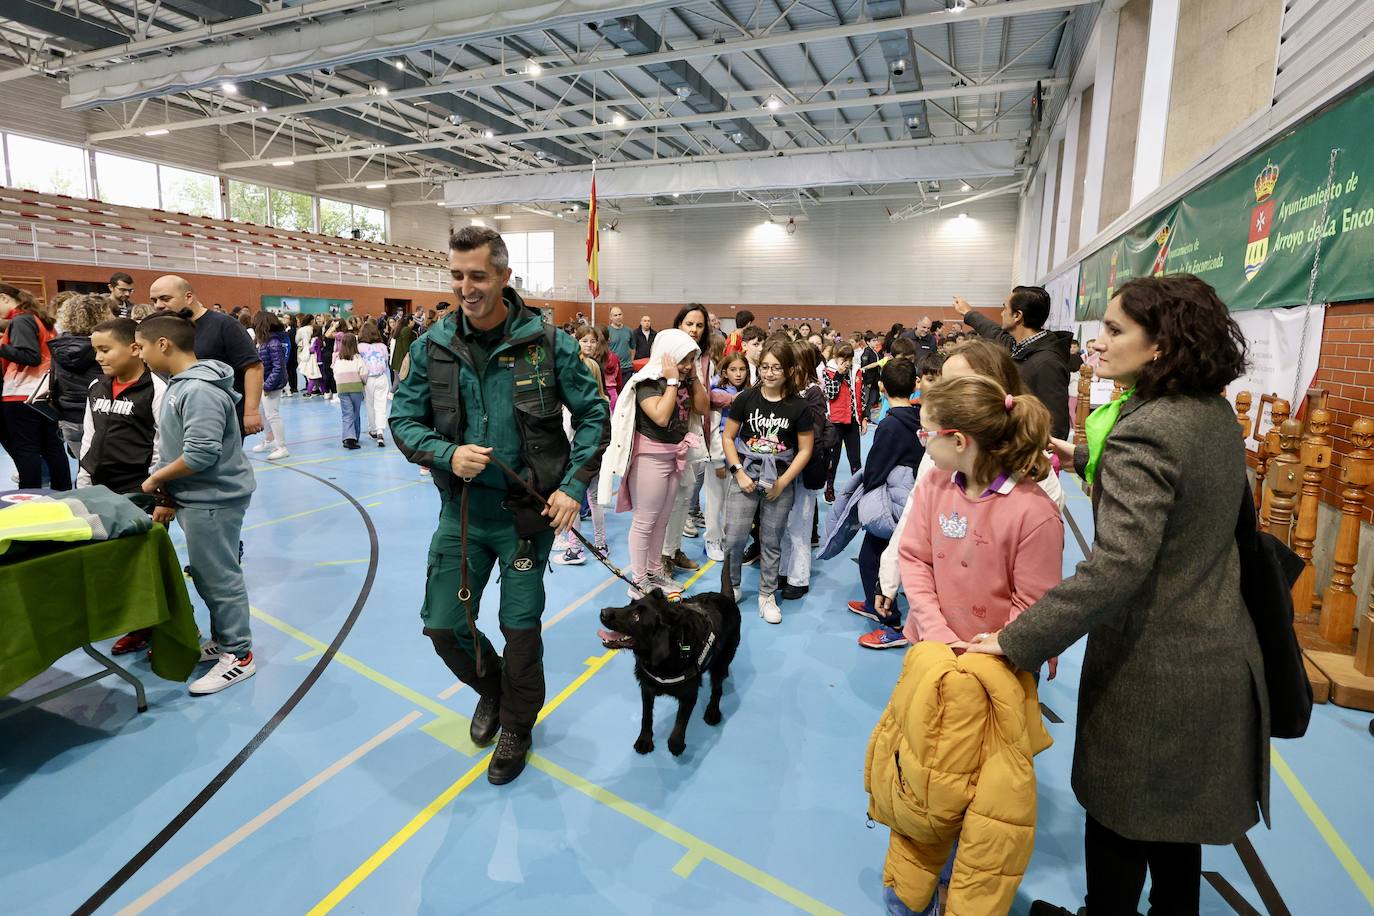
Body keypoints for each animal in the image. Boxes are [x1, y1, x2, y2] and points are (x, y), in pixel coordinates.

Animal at [599, 554, 741, 758]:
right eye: (629, 604)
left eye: (636, 617)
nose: (602, 612)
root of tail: (727, 598)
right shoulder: (647, 688)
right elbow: (646, 717)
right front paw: (645, 740)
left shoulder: (689, 695)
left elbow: (677, 732)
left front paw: (677, 746)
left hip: (721, 661)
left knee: (718, 688)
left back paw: (713, 711)